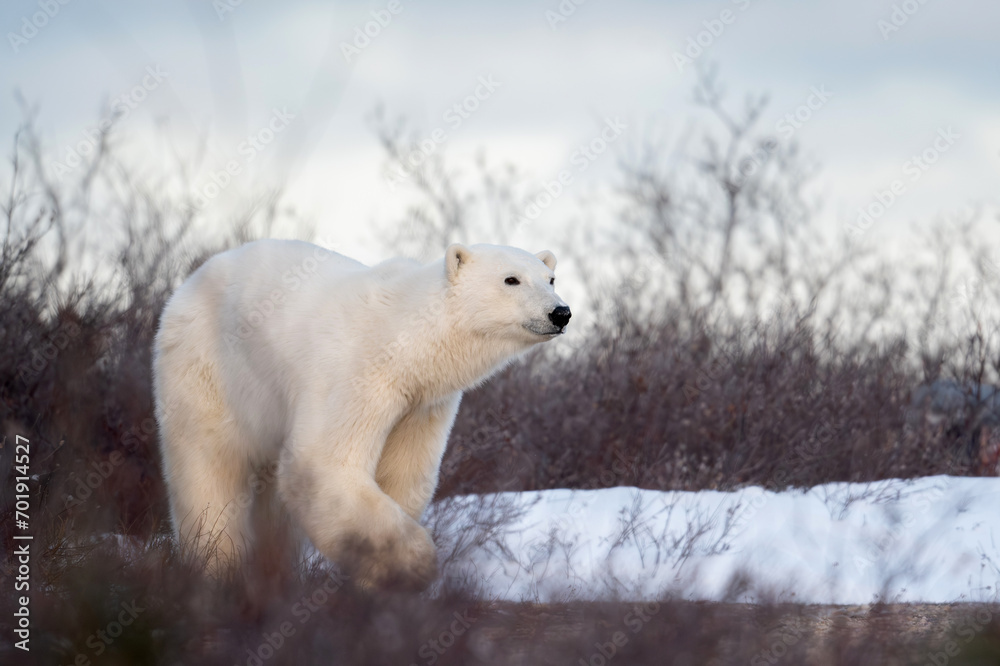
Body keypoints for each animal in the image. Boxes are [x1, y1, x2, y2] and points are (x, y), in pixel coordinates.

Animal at [150, 239, 572, 588]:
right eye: (511, 279)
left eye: (550, 278)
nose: (561, 312)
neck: (405, 334)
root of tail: (185, 286)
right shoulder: (356, 373)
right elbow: (324, 464)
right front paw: (415, 566)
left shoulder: (421, 404)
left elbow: (401, 475)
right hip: (209, 372)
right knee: (208, 468)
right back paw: (216, 567)